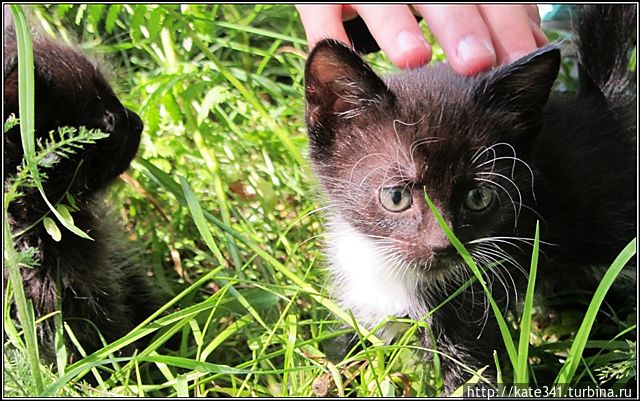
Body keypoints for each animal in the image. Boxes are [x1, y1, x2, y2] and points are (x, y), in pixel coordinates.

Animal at [304, 4, 636, 390]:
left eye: (479, 197)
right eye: (396, 196)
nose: (443, 246)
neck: (390, 269)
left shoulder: (474, 310)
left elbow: (473, 377)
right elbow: (348, 354)